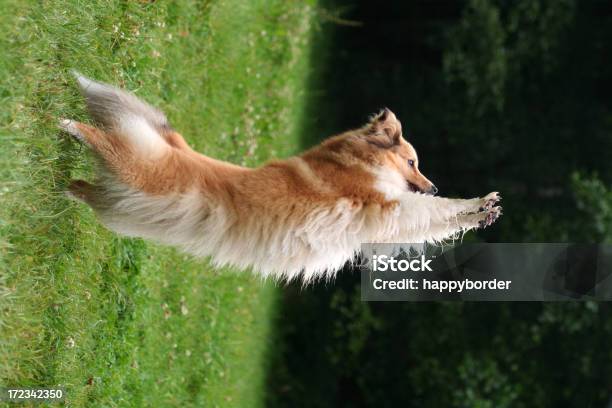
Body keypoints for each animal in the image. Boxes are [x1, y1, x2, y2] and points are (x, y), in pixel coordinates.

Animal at [61, 73, 502, 282]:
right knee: (98, 138)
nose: (434, 184)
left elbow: (435, 220)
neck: (356, 161)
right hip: (136, 169)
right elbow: (432, 210)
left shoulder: (379, 227)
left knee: (86, 188)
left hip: (121, 205)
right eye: (412, 162)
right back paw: (68, 124)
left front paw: (482, 213)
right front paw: (481, 204)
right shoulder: (384, 205)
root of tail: (174, 145)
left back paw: (67, 187)